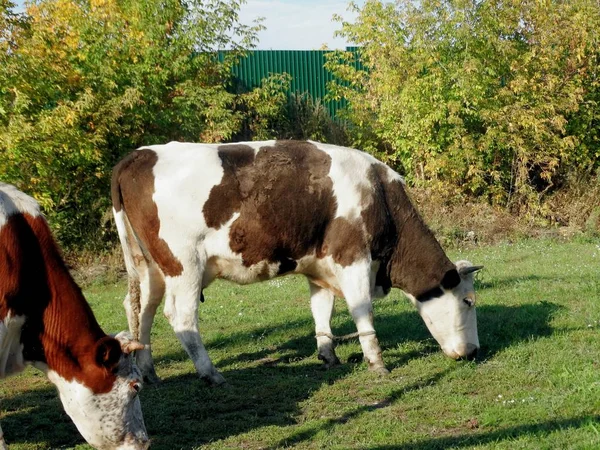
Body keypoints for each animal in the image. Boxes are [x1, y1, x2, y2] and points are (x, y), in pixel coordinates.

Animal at [109, 139, 482, 384]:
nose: (474, 351)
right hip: (184, 264)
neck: (378, 193)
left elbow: (322, 311)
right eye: (468, 300)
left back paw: (148, 370)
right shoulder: (352, 258)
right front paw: (377, 363)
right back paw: (211, 373)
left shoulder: (320, 267)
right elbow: (363, 312)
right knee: (181, 316)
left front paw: (328, 355)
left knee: (140, 309)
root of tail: (139, 154)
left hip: (150, 266)